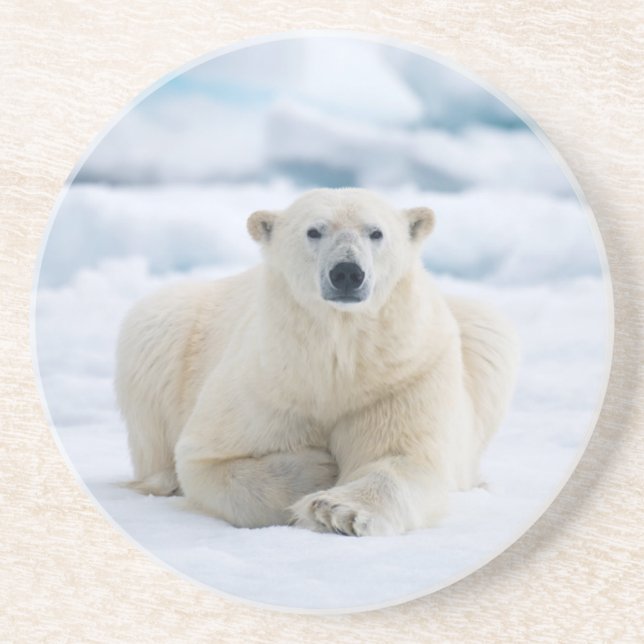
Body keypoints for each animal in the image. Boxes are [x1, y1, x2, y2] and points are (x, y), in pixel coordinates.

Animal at [115, 187, 519, 536]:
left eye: (376, 232)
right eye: (314, 230)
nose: (347, 272)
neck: (336, 360)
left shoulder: (404, 375)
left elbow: (403, 457)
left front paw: (336, 510)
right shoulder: (267, 380)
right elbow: (207, 459)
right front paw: (319, 469)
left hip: (478, 332)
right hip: (170, 324)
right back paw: (161, 481)